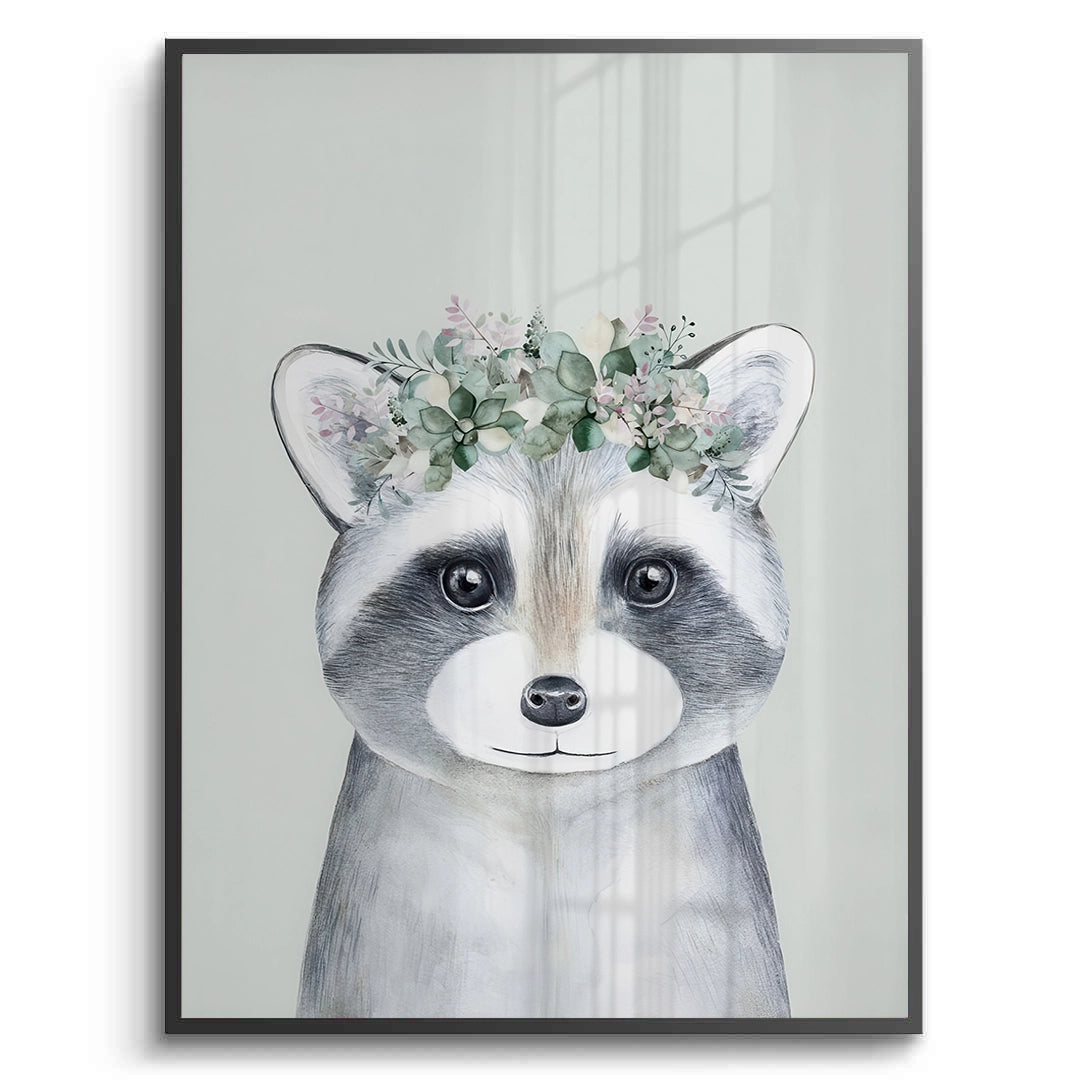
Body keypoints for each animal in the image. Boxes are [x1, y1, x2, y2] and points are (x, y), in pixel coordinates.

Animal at [272, 322, 813, 1019]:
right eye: (467, 582)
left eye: (650, 579)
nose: (556, 698)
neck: (552, 812)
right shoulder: (385, 938)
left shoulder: (711, 931)